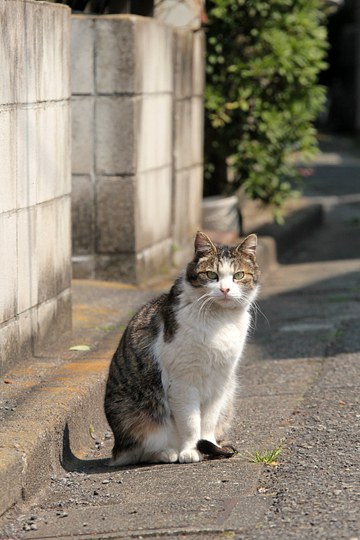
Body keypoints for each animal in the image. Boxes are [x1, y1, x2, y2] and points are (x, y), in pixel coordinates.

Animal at [103, 231, 258, 464]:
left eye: (238, 275)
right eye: (211, 275)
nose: (225, 289)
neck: (219, 319)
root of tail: (116, 448)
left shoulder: (220, 380)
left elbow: (208, 420)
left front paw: (207, 443)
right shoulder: (182, 381)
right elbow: (190, 421)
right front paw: (190, 450)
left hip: (229, 394)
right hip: (134, 415)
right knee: (141, 450)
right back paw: (168, 453)